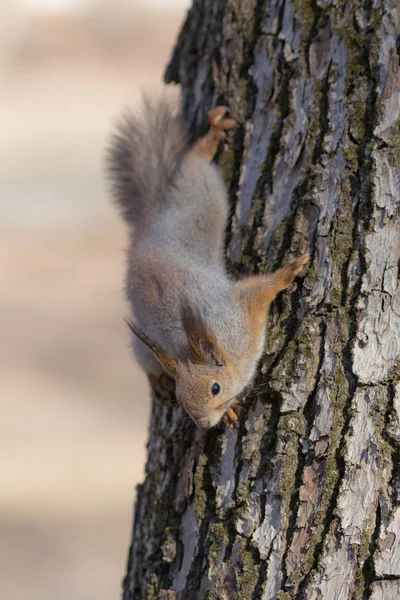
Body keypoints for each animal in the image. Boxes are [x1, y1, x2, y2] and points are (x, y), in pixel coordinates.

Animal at [107, 96, 310, 428]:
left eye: (215, 388)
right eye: (180, 399)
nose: (202, 424)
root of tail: (146, 229)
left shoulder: (240, 314)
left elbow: (261, 288)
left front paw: (289, 271)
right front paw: (228, 411)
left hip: (199, 205)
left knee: (195, 167)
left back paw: (210, 138)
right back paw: (155, 381)